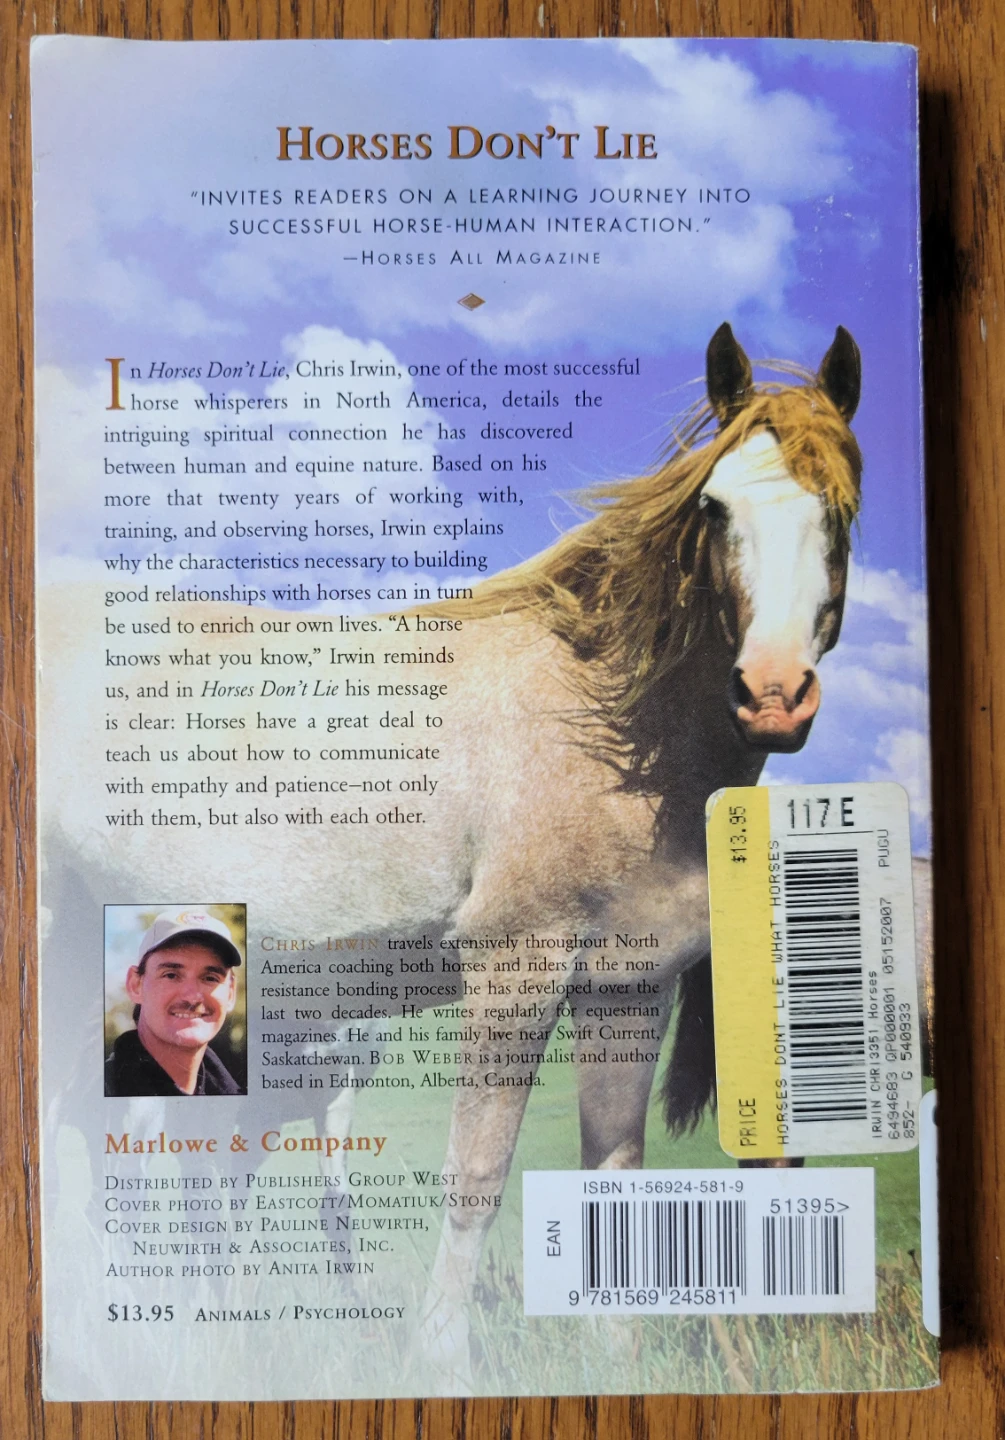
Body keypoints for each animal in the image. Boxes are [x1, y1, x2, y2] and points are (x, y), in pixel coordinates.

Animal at [38, 321, 863, 1391]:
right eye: (714, 507)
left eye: (837, 509)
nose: (771, 694)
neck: (606, 721)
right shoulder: (515, 968)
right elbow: (473, 1176)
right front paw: (443, 1366)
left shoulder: (625, 989)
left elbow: (614, 1171)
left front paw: (615, 1364)